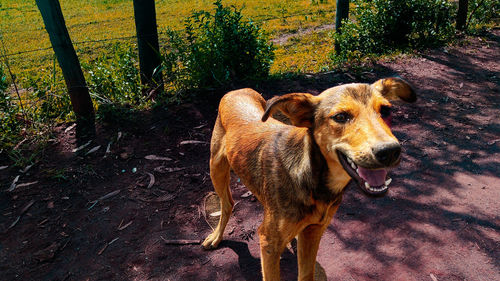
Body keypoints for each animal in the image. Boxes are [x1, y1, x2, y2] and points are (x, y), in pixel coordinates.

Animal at [201, 77, 416, 280]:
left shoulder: (314, 231)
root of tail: (238, 89)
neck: (314, 181)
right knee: (227, 203)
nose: (390, 151)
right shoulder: (269, 243)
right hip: (216, 169)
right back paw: (216, 237)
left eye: (386, 110)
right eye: (340, 117)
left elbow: (306, 274)